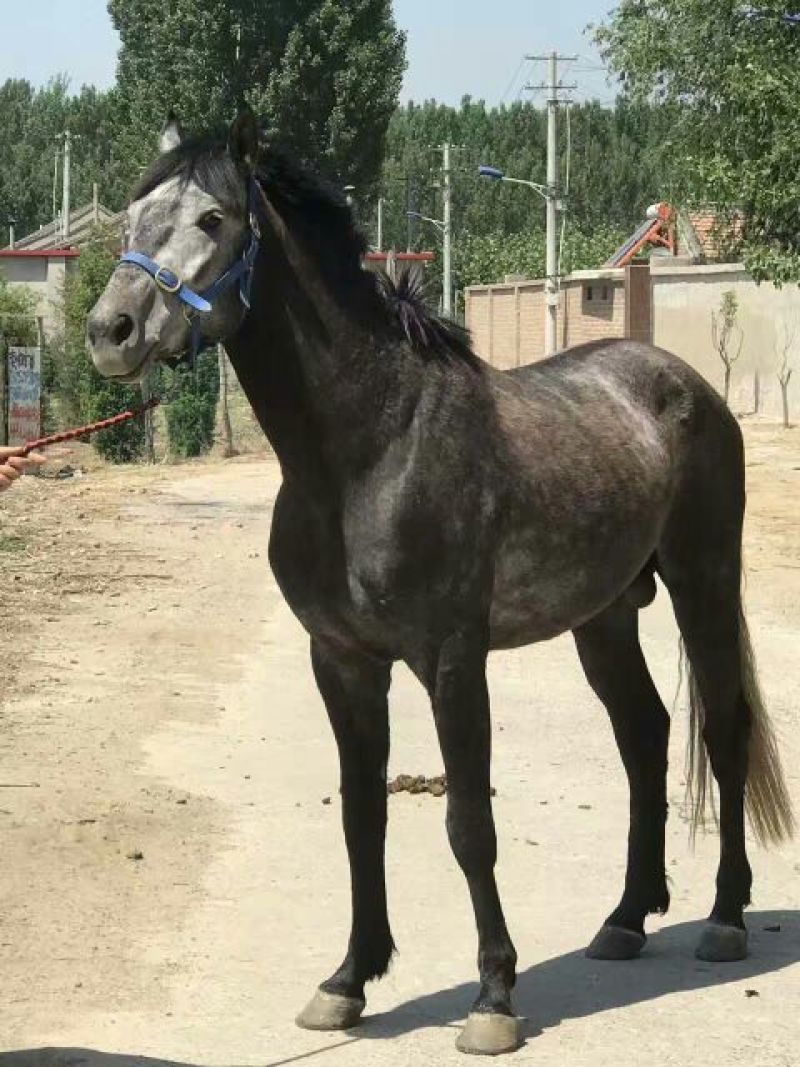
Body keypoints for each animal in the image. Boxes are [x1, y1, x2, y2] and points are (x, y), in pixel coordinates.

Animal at [86, 109, 794, 1056]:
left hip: (702, 582)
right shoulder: (342, 660)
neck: (369, 450)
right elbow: (361, 816)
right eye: (135, 215)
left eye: (212, 218)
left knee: (723, 729)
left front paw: (494, 996)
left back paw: (724, 918)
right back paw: (625, 919)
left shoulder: (453, 660)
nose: (111, 330)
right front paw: (348, 980)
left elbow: (468, 822)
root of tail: (688, 386)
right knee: (644, 734)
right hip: (604, 615)